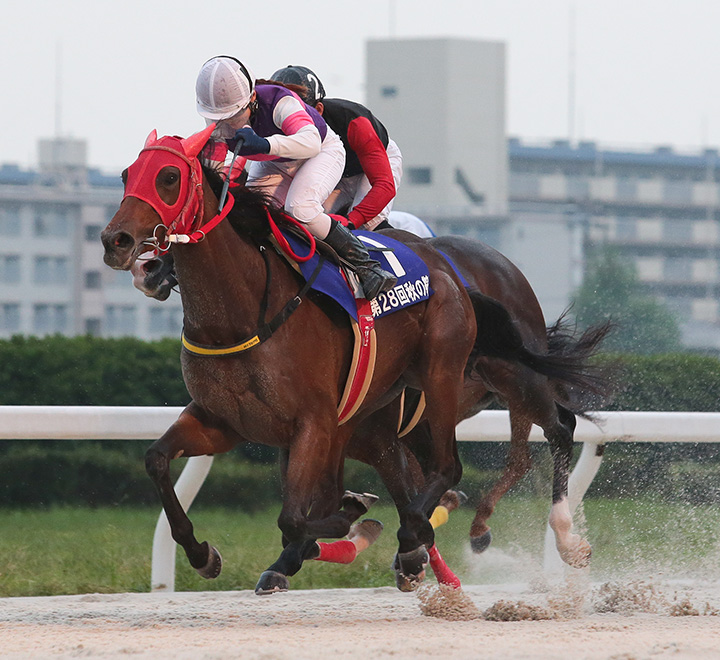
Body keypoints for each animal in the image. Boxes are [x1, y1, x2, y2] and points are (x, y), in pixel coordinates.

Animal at [100, 124, 484, 592]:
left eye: (169, 177)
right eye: (125, 175)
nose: (116, 242)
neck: (240, 316)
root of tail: (443, 268)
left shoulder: (312, 424)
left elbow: (294, 519)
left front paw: (353, 518)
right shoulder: (222, 421)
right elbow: (155, 459)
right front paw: (202, 553)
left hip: (438, 374)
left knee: (444, 469)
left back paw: (412, 539)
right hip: (364, 421)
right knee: (401, 481)